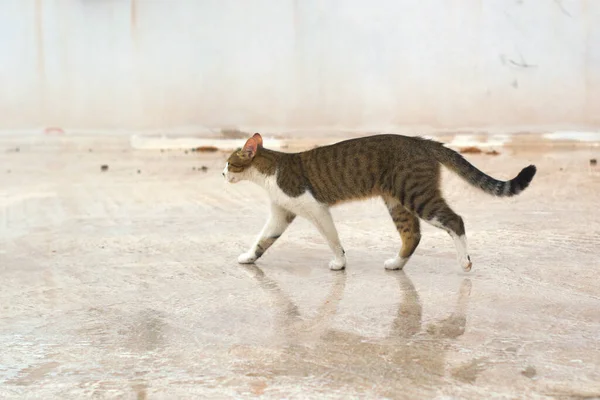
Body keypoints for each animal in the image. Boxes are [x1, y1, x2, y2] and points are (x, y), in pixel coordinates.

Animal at [223, 132, 536, 272]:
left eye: (229, 163)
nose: (222, 173)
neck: (271, 170)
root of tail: (421, 141)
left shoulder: (315, 207)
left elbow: (333, 239)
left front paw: (340, 262)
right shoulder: (282, 213)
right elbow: (263, 239)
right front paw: (249, 257)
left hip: (416, 195)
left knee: (455, 220)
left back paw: (464, 261)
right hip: (398, 202)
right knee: (413, 235)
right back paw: (396, 263)